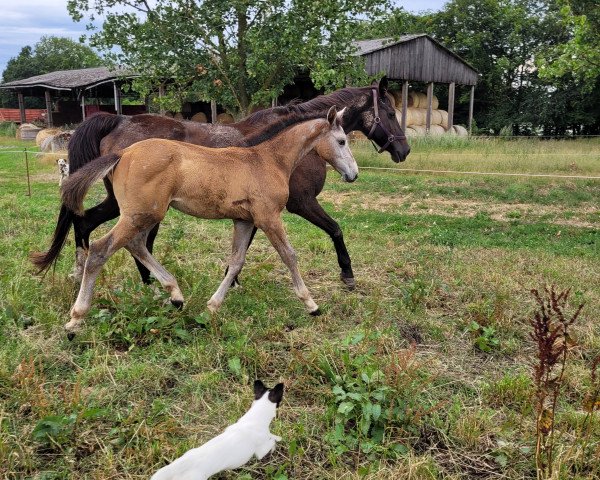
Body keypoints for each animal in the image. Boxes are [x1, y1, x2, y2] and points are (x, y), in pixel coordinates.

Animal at [31, 79, 408, 288]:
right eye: (390, 113)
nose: (403, 150)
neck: (289, 147)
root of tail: (117, 120)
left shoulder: (255, 211)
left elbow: (244, 246)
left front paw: (232, 279)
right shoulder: (300, 203)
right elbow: (336, 229)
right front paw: (347, 274)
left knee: (90, 225)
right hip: (135, 208)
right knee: (105, 231)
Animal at [61, 107, 356, 336]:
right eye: (342, 141)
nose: (353, 174)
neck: (267, 160)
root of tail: (123, 154)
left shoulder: (243, 221)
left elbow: (236, 262)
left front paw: (212, 306)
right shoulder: (269, 217)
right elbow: (289, 256)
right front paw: (312, 305)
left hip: (144, 215)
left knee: (135, 245)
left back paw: (175, 295)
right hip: (141, 215)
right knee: (101, 249)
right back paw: (76, 319)